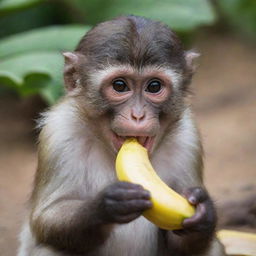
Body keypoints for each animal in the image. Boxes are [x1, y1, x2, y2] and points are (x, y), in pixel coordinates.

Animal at [18, 15, 226, 255]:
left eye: (154, 86)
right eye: (119, 85)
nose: (138, 115)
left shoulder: (189, 138)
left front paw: (203, 212)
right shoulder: (59, 132)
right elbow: (46, 218)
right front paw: (106, 205)